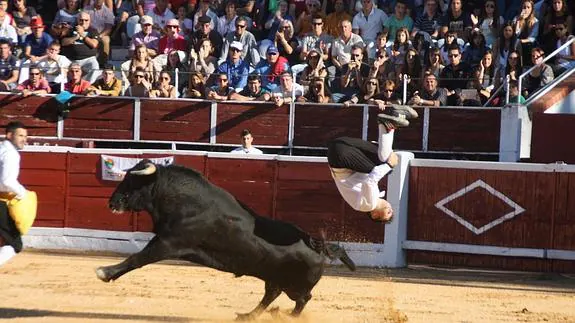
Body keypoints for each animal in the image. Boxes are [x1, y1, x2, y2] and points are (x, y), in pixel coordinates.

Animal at [95, 161, 356, 320]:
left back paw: (285, 316)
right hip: (274, 278)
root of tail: (319, 246)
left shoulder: (168, 242)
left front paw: (104, 272)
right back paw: (248, 316)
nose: (111, 202)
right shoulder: (166, 241)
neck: (183, 200)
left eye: (132, 182)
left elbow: (137, 258)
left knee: (303, 299)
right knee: (271, 295)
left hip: (296, 285)